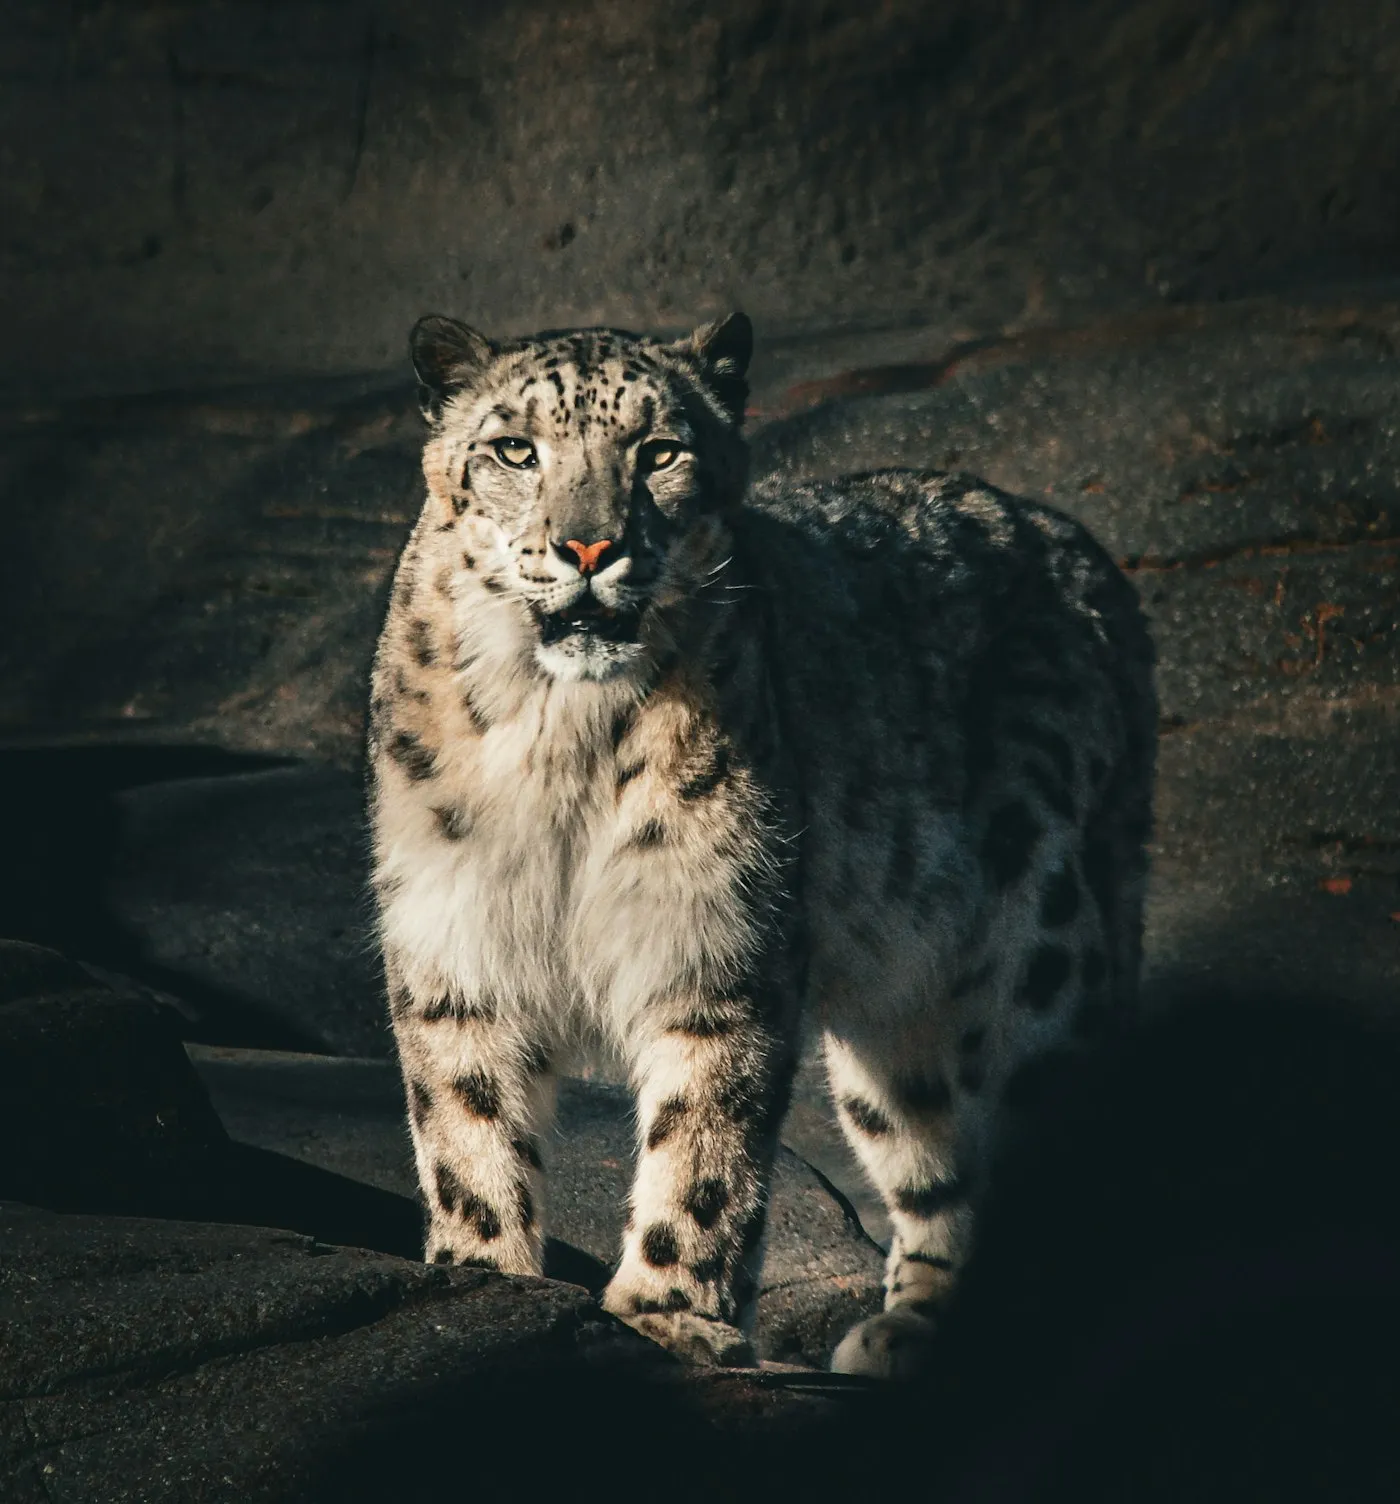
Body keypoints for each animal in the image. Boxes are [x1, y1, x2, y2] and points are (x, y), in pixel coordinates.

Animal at [367, 309, 1156, 1377]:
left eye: (660, 451)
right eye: (514, 450)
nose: (589, 545)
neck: (561, 737)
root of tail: (1081, 550)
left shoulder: (716, 934)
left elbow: (703, 1147)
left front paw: (667, 1312)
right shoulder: (455, 929)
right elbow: (466, 1122)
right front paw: (484, 1274)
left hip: (1042, 943)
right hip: (900, 1023)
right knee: (934, 1151)